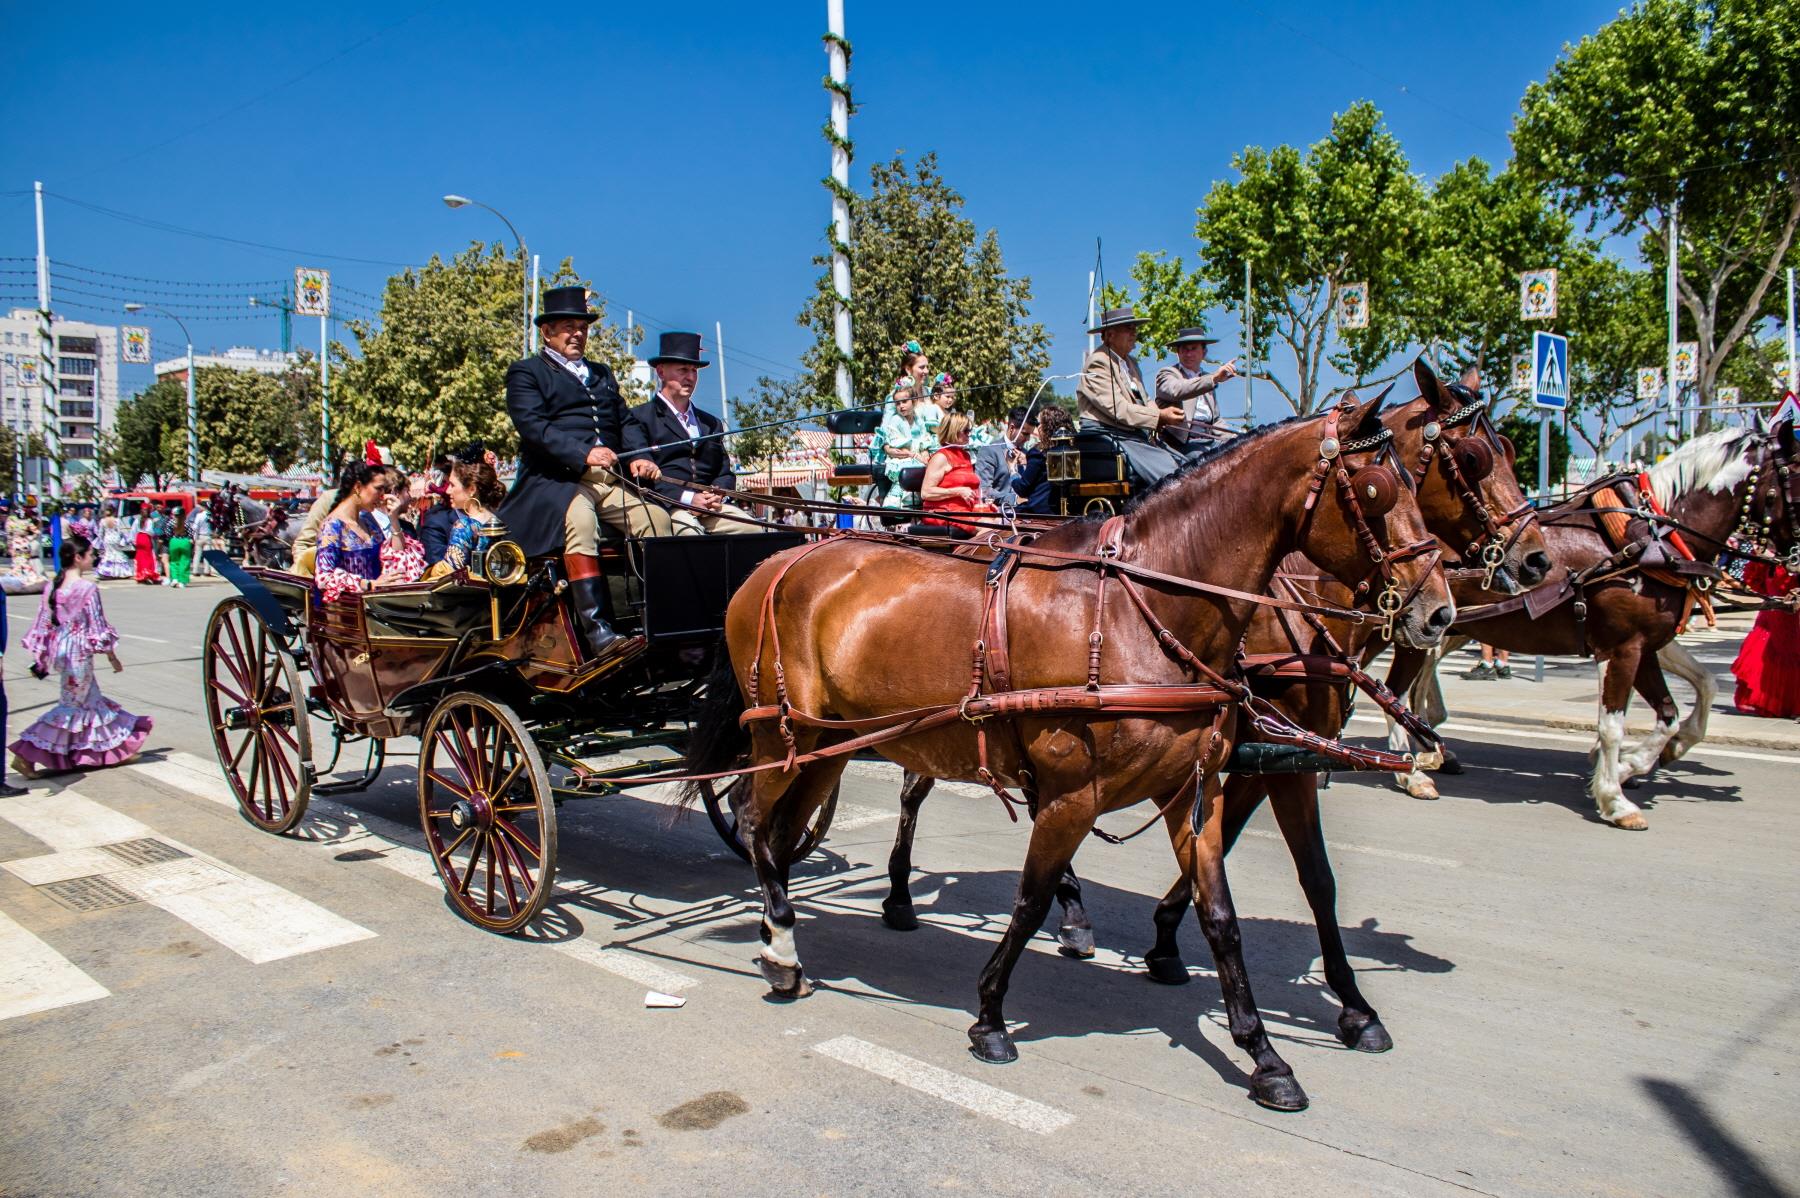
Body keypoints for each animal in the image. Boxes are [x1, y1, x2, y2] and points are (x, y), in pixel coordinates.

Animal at [680, 393, 1454, 1108]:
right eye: (1378, 491)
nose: (1439, 610)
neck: (1144, 608)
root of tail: (777, 560)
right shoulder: (1074, 795)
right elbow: (1030, 898)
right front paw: (990, 1015)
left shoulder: (1193, 789)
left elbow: (1225, 918)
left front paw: (1264, 1053)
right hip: (786, 735)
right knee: (756, 820)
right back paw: (783, 945)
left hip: (834, 744)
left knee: (783, 832)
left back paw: (783, 933)